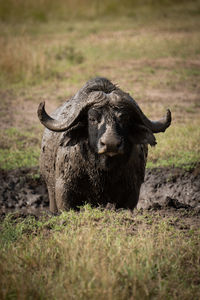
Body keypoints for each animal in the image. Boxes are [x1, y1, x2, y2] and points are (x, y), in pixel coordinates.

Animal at [38, 77, 172, 213]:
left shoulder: (131, 193)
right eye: (92, 118)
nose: (111, 144)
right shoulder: (64, 191)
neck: (103, 170)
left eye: (125, 118)